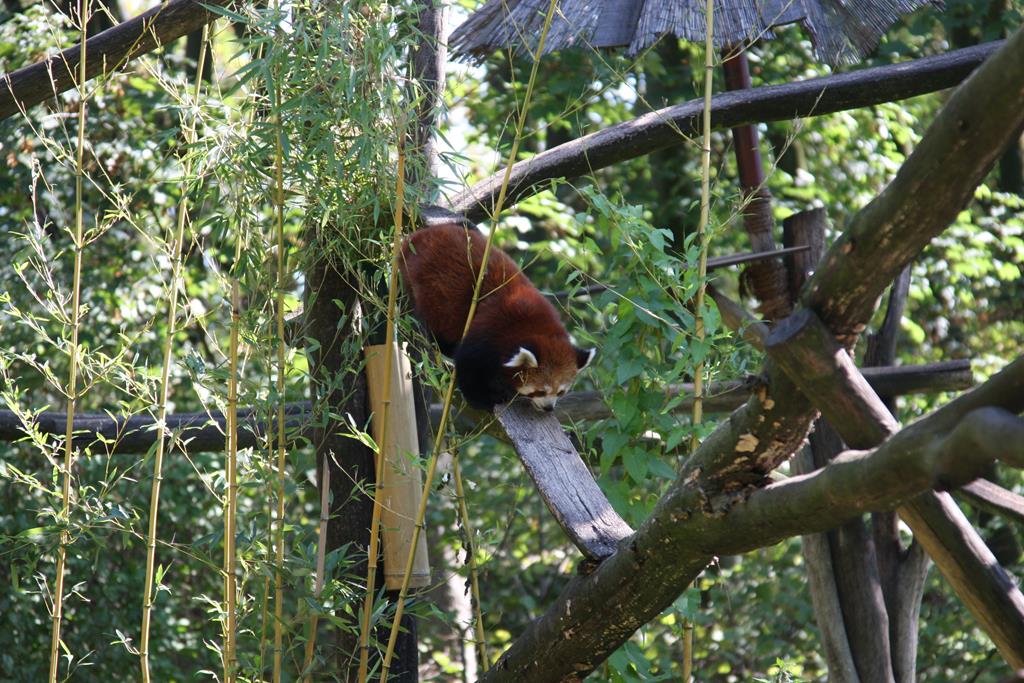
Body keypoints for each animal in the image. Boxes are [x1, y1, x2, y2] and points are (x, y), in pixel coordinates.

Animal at [397, 223, 598, 411]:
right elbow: (468, 365)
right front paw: (484, 399)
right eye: (540, 391)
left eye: (561, 392)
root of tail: (415, 237)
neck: (532, 325)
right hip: (430, 291)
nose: (549, 408)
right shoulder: (490, 329)